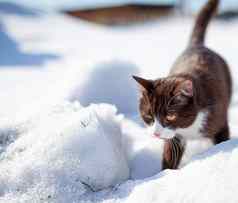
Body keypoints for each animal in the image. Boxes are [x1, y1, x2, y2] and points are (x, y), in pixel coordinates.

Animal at [132, 0, 231, 170]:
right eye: (149, 116)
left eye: (170, 116)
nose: (156, 134)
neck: (189, 128)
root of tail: (196, 45)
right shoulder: (174, 137)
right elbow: (170, 152)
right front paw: (165, 173)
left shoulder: (218, 117)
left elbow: (223, 138)